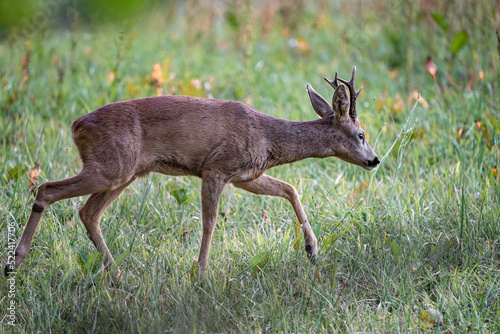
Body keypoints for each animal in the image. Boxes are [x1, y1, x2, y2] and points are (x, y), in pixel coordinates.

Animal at [4, 66, 378, 280]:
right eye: (361, 134)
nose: (374, 160)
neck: (267, 137)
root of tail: (76, 126)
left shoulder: (246, 176)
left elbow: (289, 188)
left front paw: (312, 249)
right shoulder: (215, 168)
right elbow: (209, 223)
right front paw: (200, 275)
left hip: (124, 173)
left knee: (87, 213)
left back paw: (117, 274)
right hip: (111, 166)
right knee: (47, 189)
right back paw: (14, 262)